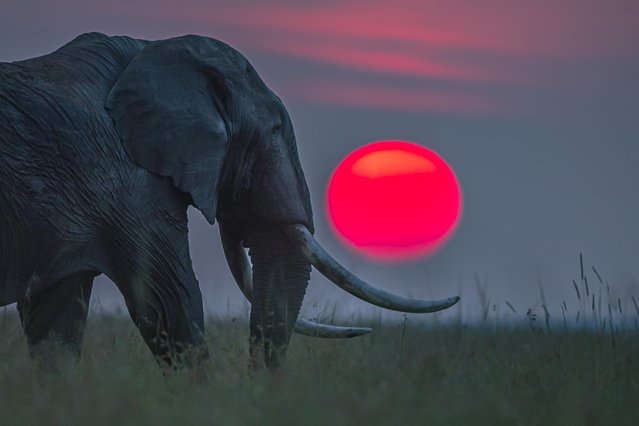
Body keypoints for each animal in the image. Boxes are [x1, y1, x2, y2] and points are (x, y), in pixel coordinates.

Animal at [0, 31, 460, 368]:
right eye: (275, 130)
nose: (261, 392)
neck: (147, 50)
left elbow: (55, 326)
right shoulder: (126, 186)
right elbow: (169, 303)